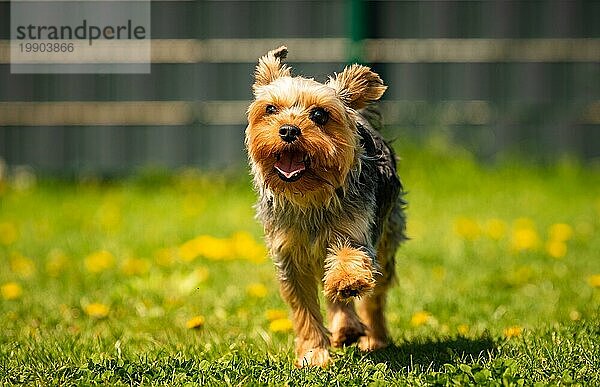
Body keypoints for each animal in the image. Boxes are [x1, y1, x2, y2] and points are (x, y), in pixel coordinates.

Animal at [245, 47, 408, 368]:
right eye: (270, 109)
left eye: (319, 114)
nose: (288, 130)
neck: (309, 197)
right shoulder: (288, 254)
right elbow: (303, 309)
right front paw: (314, 355)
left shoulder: (355, 231)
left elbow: (349, 259)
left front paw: (348, 282)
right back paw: (346, 330)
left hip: (387, 236)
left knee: (374, 294)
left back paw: (372, 337)